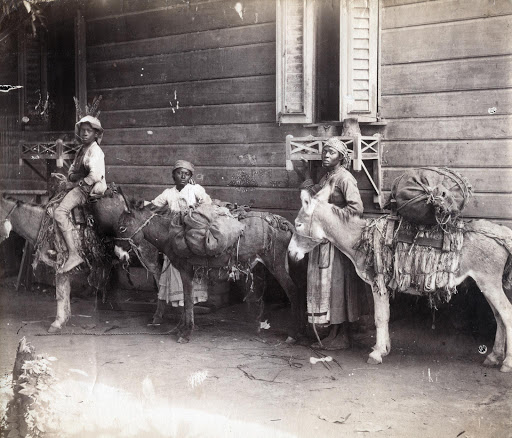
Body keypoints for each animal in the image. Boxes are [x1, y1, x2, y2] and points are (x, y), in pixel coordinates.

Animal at [0, 189, 161, 333]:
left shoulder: (61, 262)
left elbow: (60, 293)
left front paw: (57, 322)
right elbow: (65, 292)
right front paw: (64, 319)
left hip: (150, 258)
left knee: (160, 281)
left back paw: (158, 318)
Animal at [114, 203, 306, 344]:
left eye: (122, 228)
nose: (118, 255)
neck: (170, 233)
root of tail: (282, 222)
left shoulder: (186, 270)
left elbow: (188, 300)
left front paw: (185, 333)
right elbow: (187, 300)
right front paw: (182, 328)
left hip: (277, 265)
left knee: (293, 291)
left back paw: (293, 334)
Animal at [287, 186, 512, 373]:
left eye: (298, 224)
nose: (290, 254)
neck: (361, 237)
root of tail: (502, 232)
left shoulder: (377, 282)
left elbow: (380, 317)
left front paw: (376, 354)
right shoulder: (383, 285)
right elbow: (385, 316)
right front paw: (384, 348)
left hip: (488, 282)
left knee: (507, 314)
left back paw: (506, 363)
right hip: (486, 283)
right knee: (499, 317)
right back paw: (493, 357)